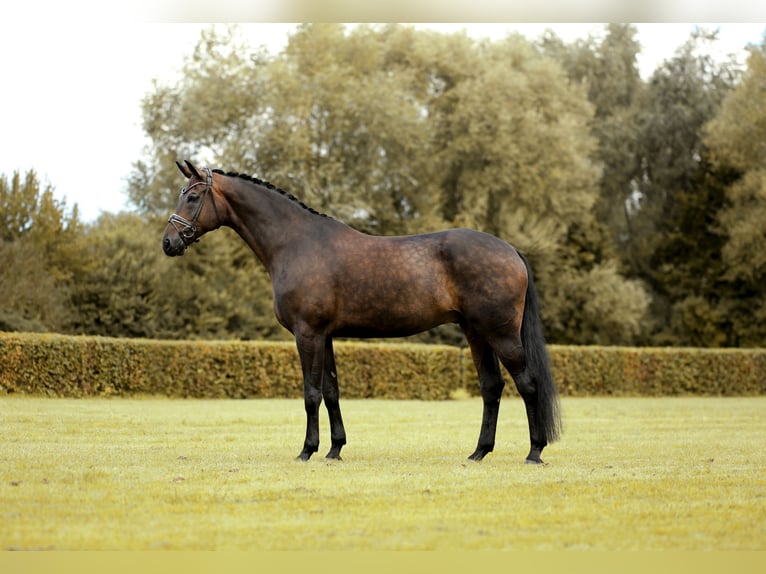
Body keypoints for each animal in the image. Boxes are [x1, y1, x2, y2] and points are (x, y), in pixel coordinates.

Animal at [162, 160, 564, 466]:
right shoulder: (324, 336)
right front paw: (334, 450)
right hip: (475, 331)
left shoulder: (307, 333)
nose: (168, 243)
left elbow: (311, 393)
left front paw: (307, 451)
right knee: (491, 387)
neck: (296, 243)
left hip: (500, 333)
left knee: (527, 384)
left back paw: (534, 452)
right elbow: (331, 391)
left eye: (193, 196)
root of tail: (511, 250)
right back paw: (479, 452)